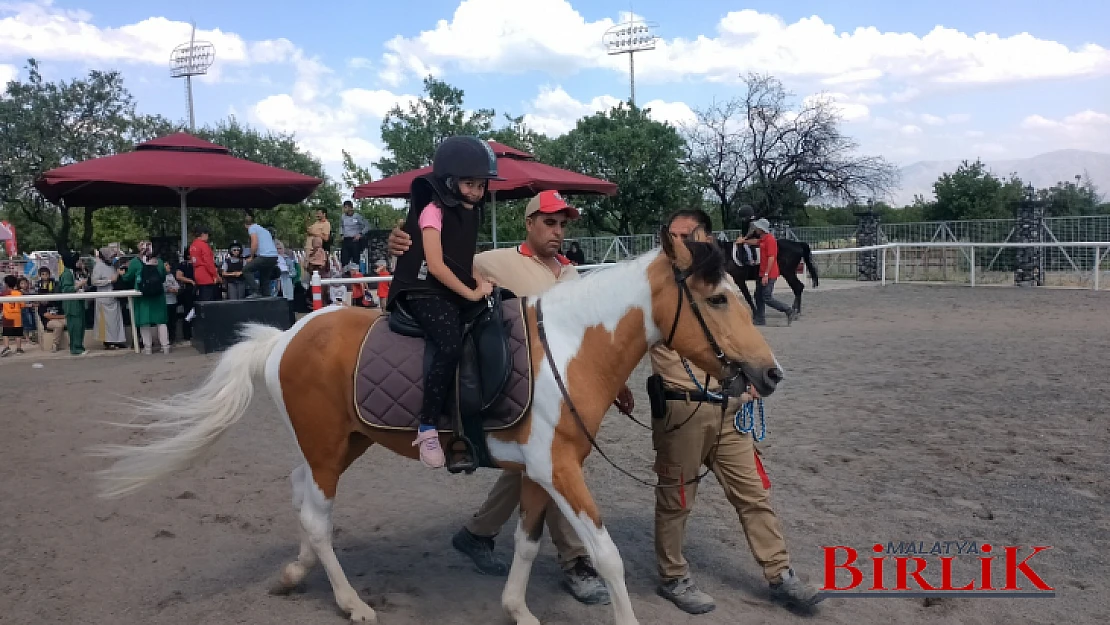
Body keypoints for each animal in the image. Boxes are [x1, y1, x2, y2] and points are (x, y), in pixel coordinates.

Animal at [93, 236, 781, 625]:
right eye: (717, 299)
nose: (768, 374)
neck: (568, 348)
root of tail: (286, 335)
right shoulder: (560, 471)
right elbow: (609, 558)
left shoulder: (538, 472)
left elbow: (527, 542)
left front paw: (517, 611)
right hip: (328, 450)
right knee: (317, 517)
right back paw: (352, 604)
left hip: (341, 444)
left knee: (300, 500)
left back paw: (294, 575)